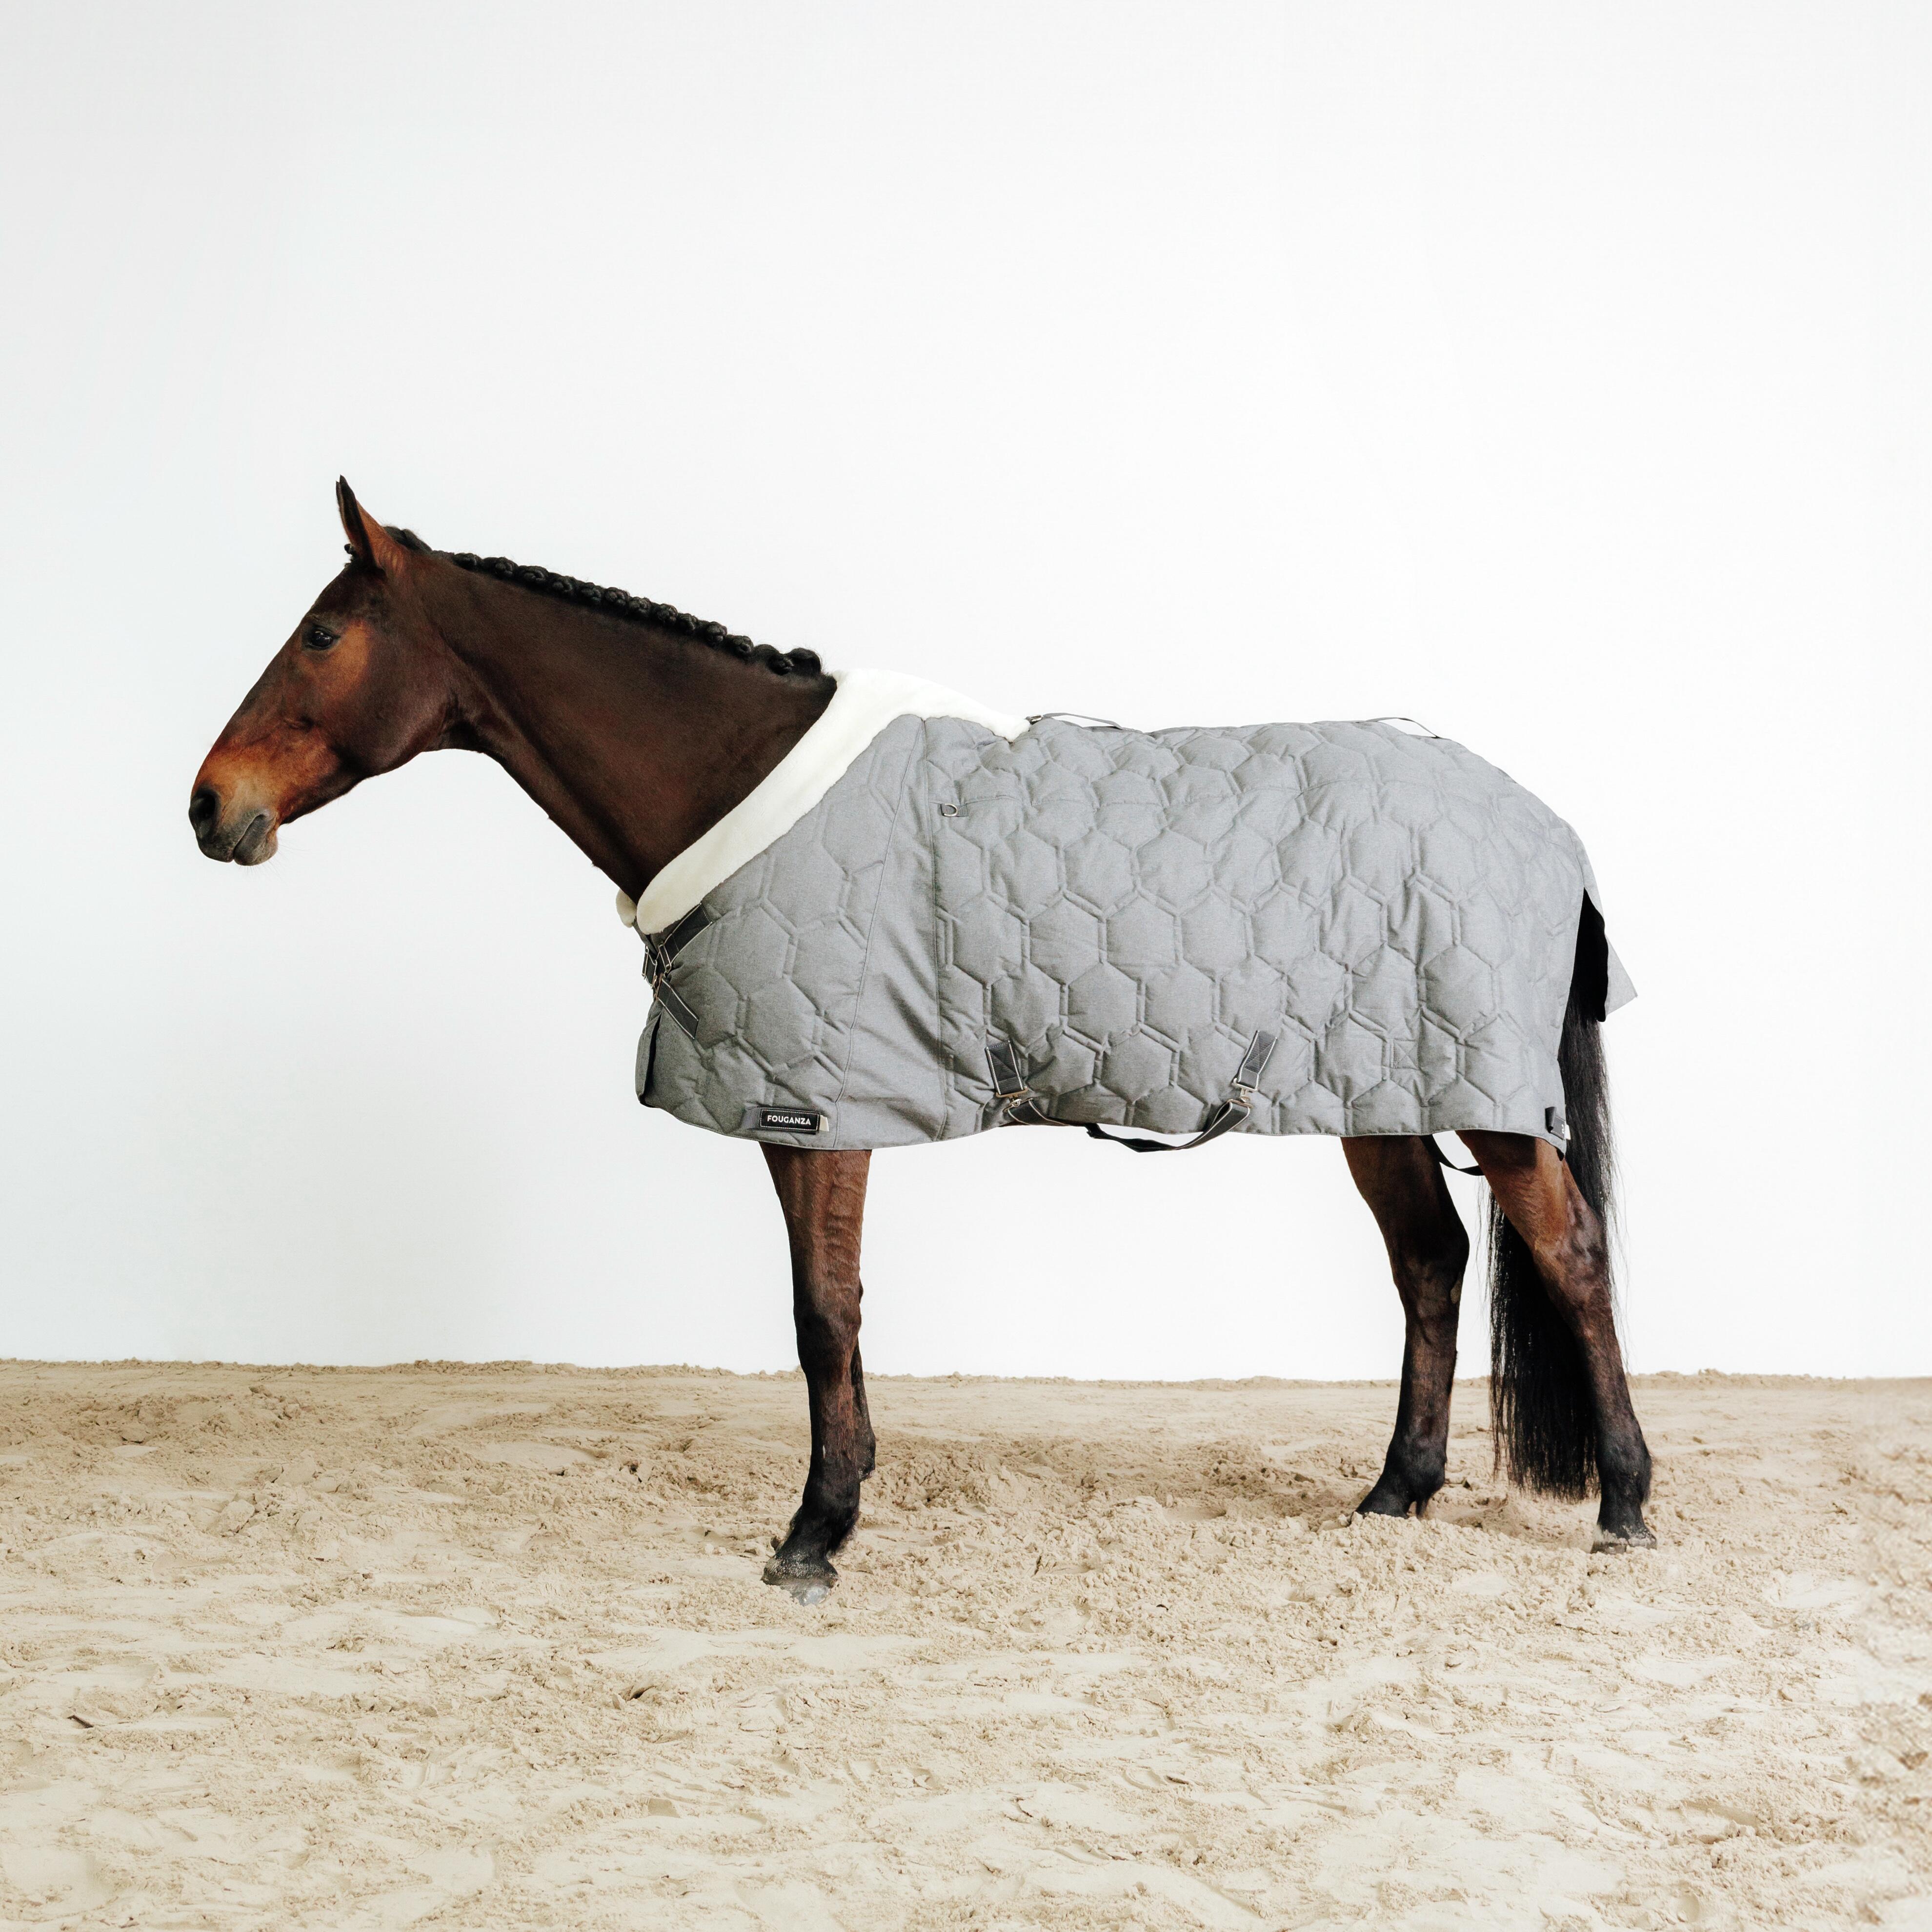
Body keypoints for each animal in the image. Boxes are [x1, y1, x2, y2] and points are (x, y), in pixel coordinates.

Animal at [190, 479, 1654, 1599]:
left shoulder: (818, 1111)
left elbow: (823, 1312)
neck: (740, 789)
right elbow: (821, 1312)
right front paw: (837, 1501)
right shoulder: (810, 1108)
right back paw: (1397, 1491)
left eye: (323, 634)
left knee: (1568, 1252)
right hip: (1374, 1085)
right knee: (1431, 1259)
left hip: (1482, 1093)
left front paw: (815, 1531)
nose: (212, 807)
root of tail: (1544, 820)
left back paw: (1623, 1505)